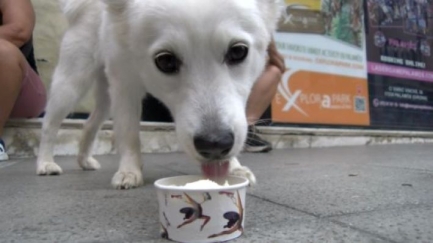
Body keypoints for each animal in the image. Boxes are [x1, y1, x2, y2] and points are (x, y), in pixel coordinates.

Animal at [35, 0, 282, 190]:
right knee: (49, 125)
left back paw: (84, 160)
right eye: (165, 61)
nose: (214, 145)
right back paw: (45, 163)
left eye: (238, 51)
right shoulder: (125, 87)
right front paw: (129, 170)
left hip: (106, 96)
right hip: (72, 82)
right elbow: (128, 134)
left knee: (89, 124)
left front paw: (234, 167)